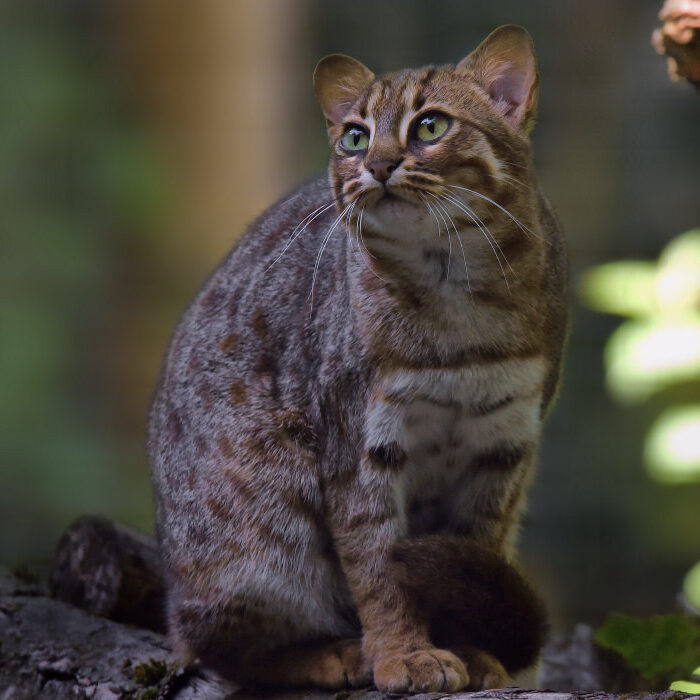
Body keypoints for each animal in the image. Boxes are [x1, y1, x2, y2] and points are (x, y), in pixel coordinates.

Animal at [149, 23, 568, 696]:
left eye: (431, 126)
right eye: (354, 136)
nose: (376, 165)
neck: (456, 292)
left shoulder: (504, 445)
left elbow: (471, 558)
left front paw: (471, 651)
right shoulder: (360, 442)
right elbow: (378, 566)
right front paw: (404, 655)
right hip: (262, 517)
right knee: (209, 646)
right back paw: (333, 654)